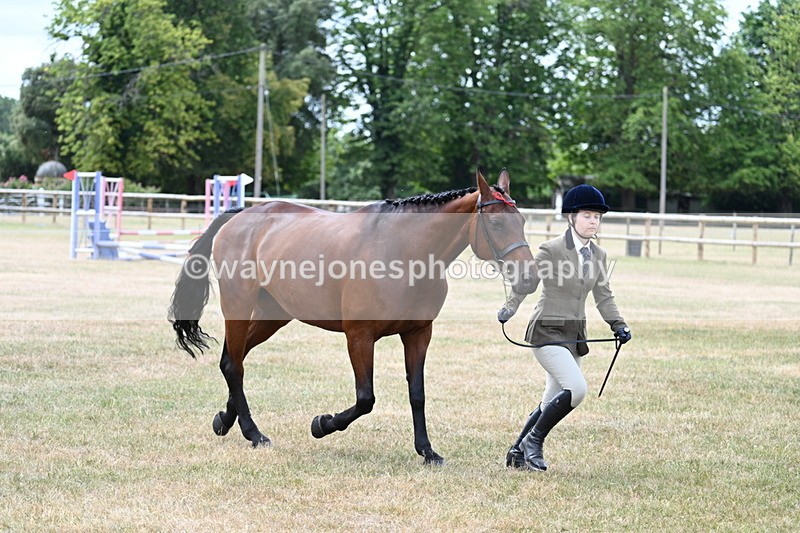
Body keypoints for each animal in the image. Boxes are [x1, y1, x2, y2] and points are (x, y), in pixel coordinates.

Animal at [168, 168, 535, 464]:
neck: (404, 253)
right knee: (234, 365)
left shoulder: (418, 334)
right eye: (496, 222)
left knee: (234, 358)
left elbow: (417, 394)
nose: (529, 278)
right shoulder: (359, 337)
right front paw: (322, 424)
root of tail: (243, 215)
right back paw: (254, 433)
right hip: (239, 305)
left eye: (522, 221)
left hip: (274, 314)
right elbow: (365, 398)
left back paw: (225, 420)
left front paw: (427, 451)